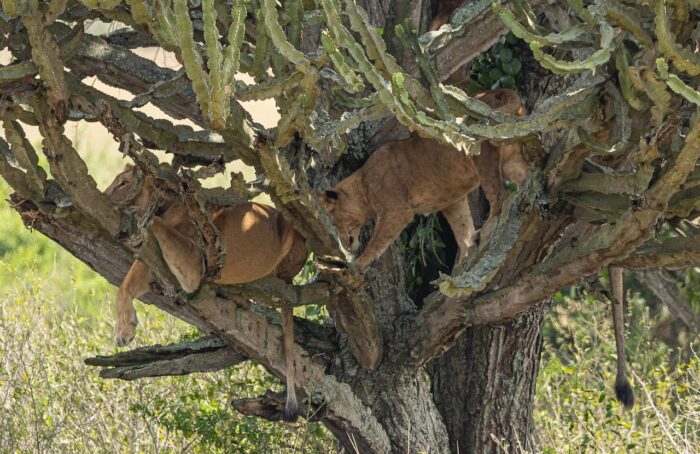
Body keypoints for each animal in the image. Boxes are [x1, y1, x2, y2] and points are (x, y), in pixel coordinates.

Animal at [105, 165, 307, 421]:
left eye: (123, 183)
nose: (105, 196)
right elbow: (128, 282)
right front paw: (124, 329)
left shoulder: (193, 264)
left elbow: (154, 224)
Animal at [320, 89, 528, 270]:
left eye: (334, 222)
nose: (344, 247)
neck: (363, 183)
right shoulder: (452, 201)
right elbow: (462, 229)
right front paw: (464, 258)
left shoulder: (396, 211)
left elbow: (377, 241)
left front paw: (359, 263)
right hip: (510, 162)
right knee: (523, 176)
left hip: (483, 154)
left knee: (499, 196)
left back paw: (486, 230)